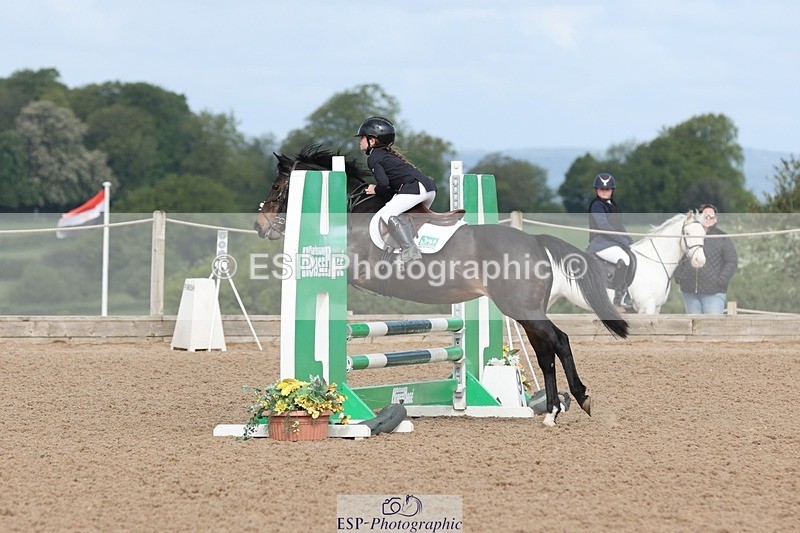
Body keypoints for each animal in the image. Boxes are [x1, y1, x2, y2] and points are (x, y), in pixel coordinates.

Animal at [254, 146, 629, 426]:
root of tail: (535, 241)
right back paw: (552, 412)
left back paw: (578, 398)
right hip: (525, 310)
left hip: (521, 308)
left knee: (558, 341)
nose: (260, 227)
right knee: (545, 351)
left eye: (276, 186)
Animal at [549, 213, 707, 314]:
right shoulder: (647, 307)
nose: (700, 260)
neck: (654, 260)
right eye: (687, 233)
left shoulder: (656, 308)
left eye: (704, 234)